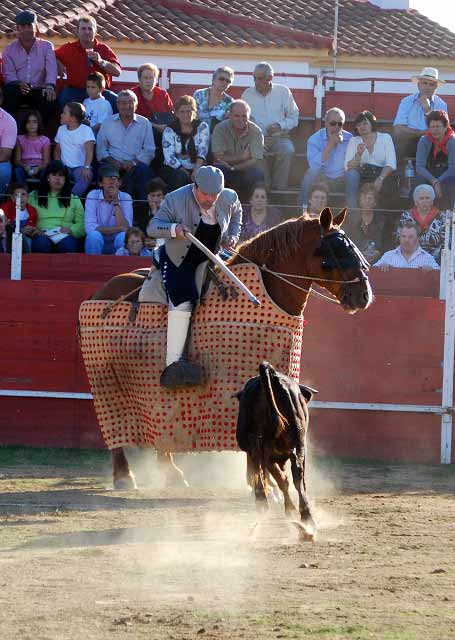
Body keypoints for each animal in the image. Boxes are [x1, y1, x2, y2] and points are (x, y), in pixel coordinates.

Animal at [83, 208, 374, 488]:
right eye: (334, 254)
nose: (364, 296)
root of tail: (98, 294)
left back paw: (171, 472)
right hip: (106, 380)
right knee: (115, 424)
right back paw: (124, 476)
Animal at [235, 362, 318, 536]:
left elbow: (280, 479)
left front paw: (289, 510)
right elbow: (288, 479)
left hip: (257, 444)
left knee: (260, 467)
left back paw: (262, 502)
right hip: (295, 444)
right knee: (296, 475)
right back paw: (306, 517)